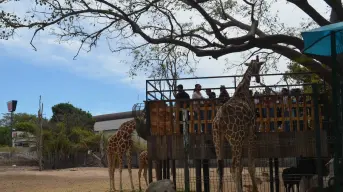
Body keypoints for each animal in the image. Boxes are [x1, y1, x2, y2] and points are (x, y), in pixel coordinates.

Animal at [212, 55, 266, 192]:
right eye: (259, 67)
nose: (258, 79)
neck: (243, 89)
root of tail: (219, 121)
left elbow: (242, 165)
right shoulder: (251, 131)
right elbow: (250, 164)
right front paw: (255, 189)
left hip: (218, 139)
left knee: (220, 167)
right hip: (236, 140)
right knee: (233, 166)